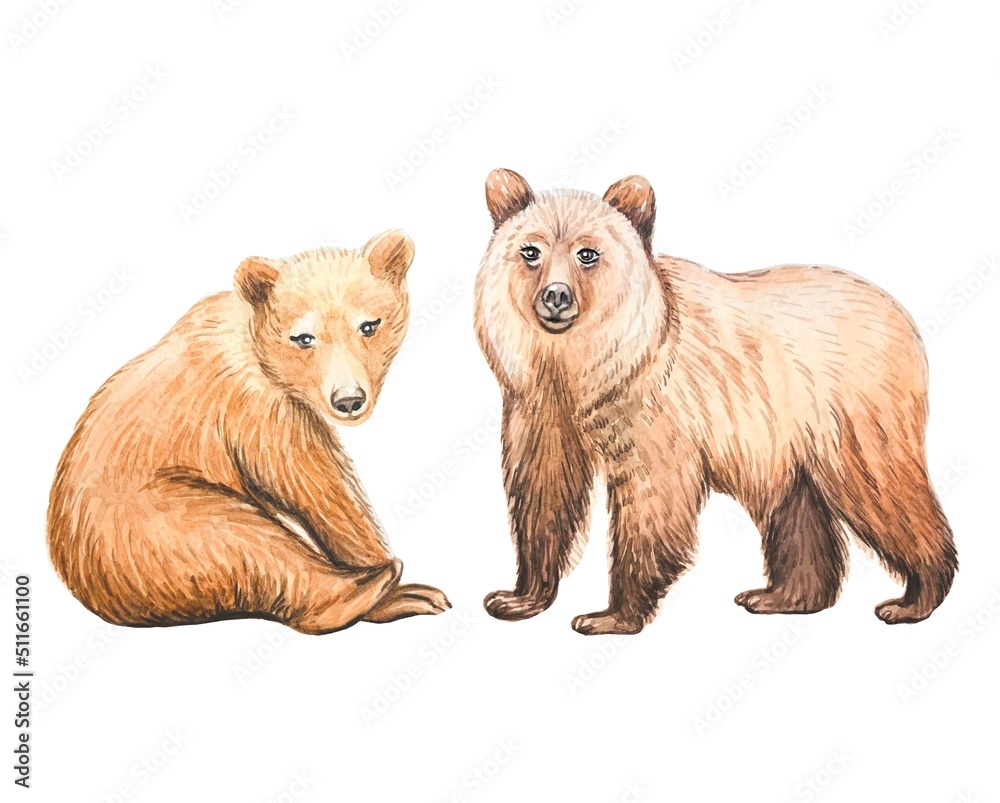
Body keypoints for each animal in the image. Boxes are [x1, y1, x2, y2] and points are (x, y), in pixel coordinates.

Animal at [48, 231, 450, 634]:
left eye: (369, 325)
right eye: (304, 337)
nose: (349, 399)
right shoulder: (256, 407)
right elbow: (318, 486)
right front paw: (385, 568)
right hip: (147, 527)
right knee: (248, 541)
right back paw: (374, 587)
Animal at [473, 168, 957, 635]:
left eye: (587, 254)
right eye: (530, 250)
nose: (556, 296)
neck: (578, 367)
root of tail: (901, 314)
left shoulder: (652, 407)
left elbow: (651, 499)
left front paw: (608, 616)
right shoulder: (538, 408)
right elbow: (543, 489)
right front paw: (517, 597)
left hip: (853, 411)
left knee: (882, 487)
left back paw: (912, 599)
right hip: (790, 436)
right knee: (798, 508)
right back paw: (779, 596)